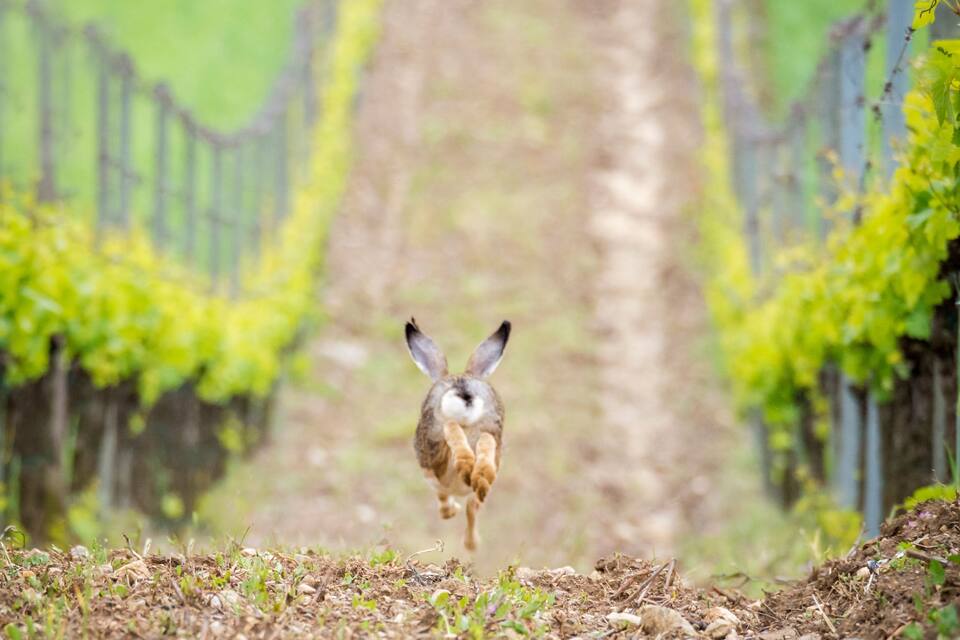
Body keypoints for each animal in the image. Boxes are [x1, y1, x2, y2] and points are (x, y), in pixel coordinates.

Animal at [404, 318, 511, 550]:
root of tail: (462, 389)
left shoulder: (435, 481)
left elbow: (447, 501)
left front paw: (453, 516)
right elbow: (472, 506)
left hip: (435, 444)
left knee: (451, 430)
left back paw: (467, 467)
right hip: (491, 425)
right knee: (485, 440)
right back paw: (481, 475)